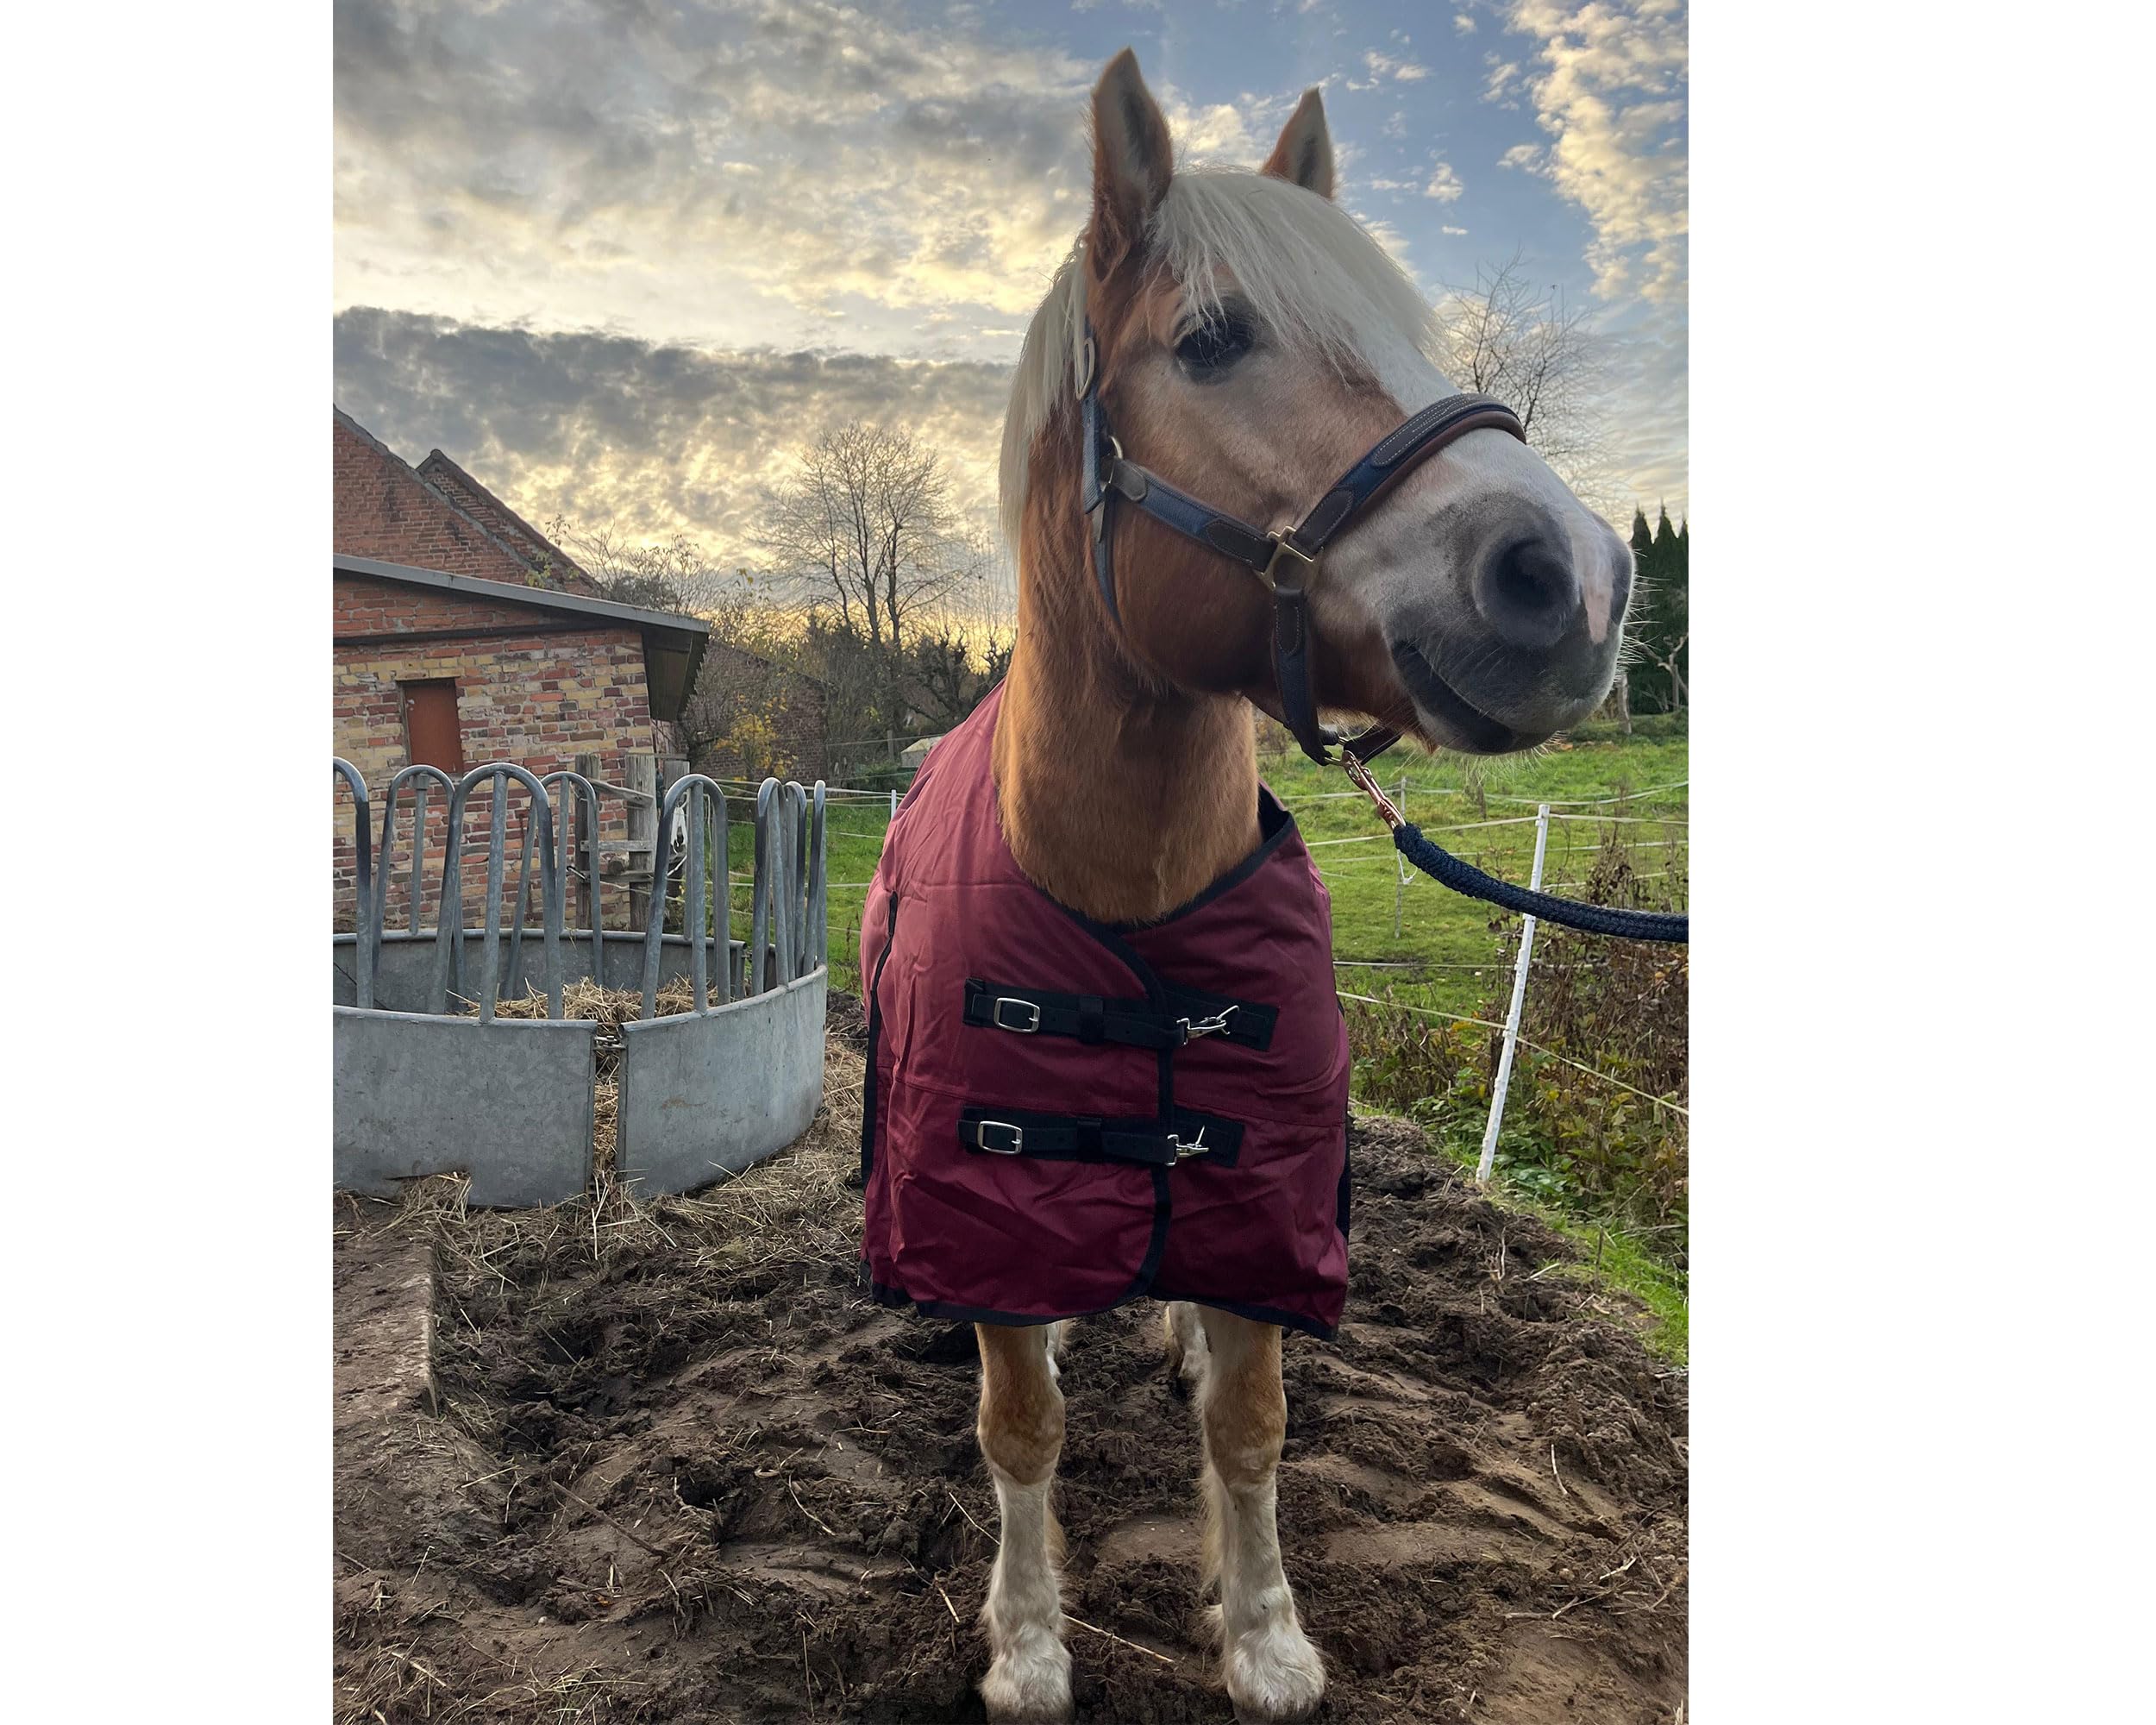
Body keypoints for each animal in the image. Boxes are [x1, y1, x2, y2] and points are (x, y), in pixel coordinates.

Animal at [881, 50, 1632, 1723]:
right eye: (1213, 342)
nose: (1574, 578)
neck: (1129, 899)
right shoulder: (991, 1207)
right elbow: (1020, 1429)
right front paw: (1027, 1642)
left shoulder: (1267, 1200)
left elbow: (1250, 1424)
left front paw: (1268, 1636)